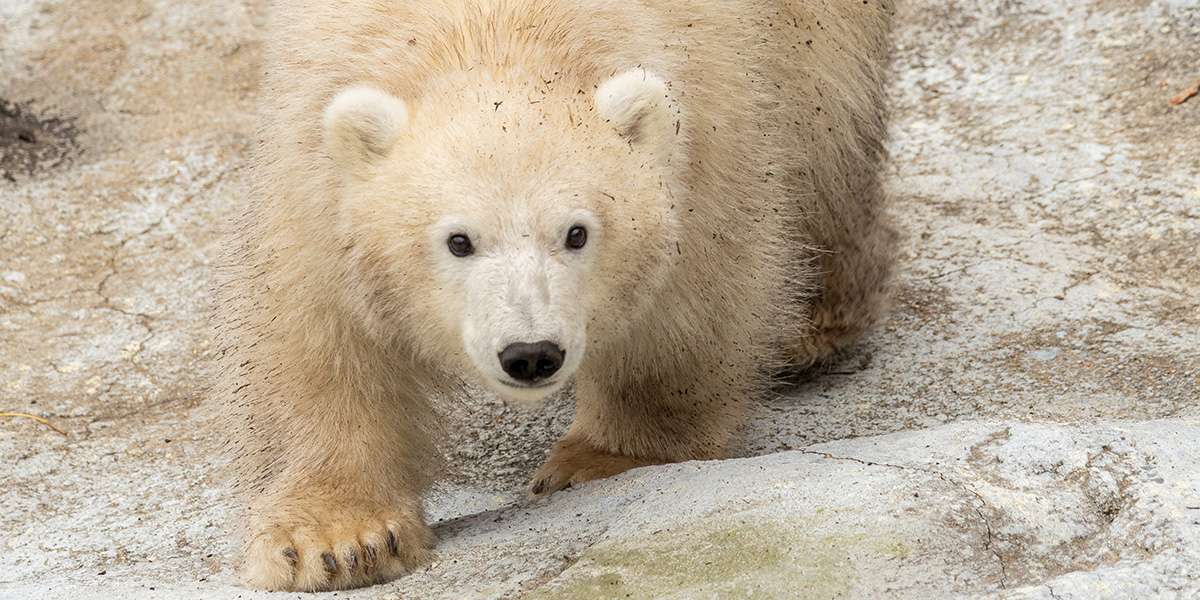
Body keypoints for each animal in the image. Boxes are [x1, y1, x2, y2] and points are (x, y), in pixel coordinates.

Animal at [216, 0, 896, 591]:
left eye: (576, 233)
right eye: (458, 241)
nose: (530, 354)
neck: (488, 34)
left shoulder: (706, 120)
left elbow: (693, 293)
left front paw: (601, 458)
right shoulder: (312, 160)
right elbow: (321, 333)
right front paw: (334, 541)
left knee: (831, 127)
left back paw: (812, 327)